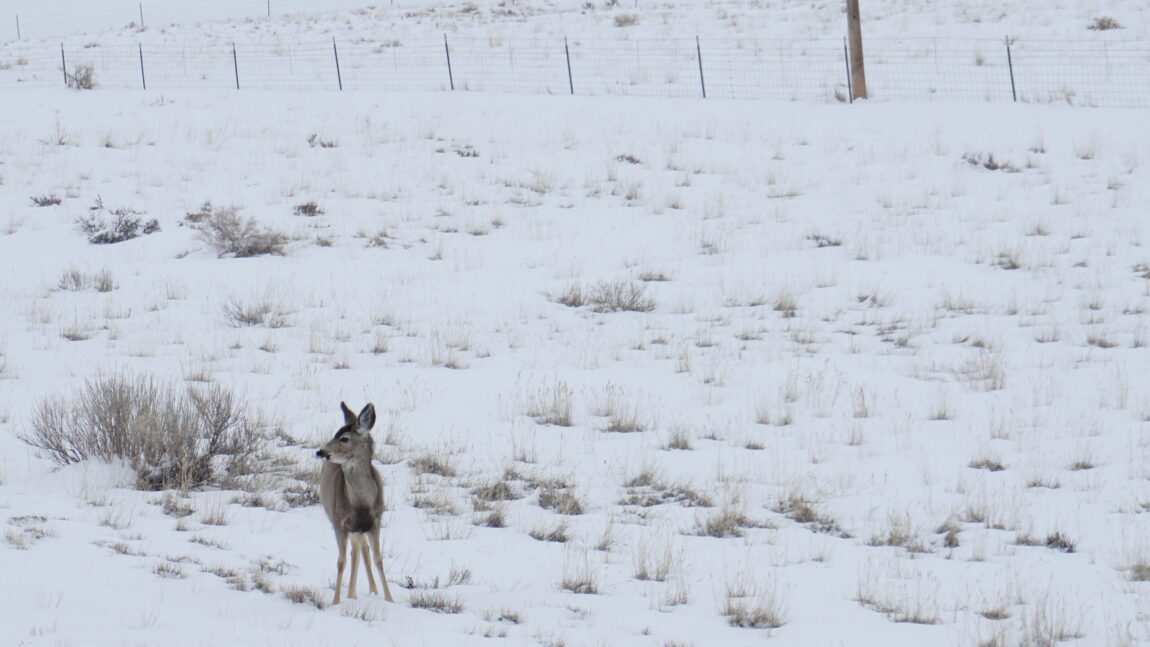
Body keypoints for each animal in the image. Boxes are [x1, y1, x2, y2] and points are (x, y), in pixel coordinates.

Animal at [315, 402, 395, 605]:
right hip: (341, 522)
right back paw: (352, 594)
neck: (361, 504)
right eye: (335, 434)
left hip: (359, 529)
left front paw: (390, 599)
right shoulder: (339, 523)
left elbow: (378, 559)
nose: (321, 451)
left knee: (361, 549)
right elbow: (341, 561)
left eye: (344, 438)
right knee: (357, 549)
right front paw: (336, 602)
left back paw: (370, 590)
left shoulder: (375, 522)